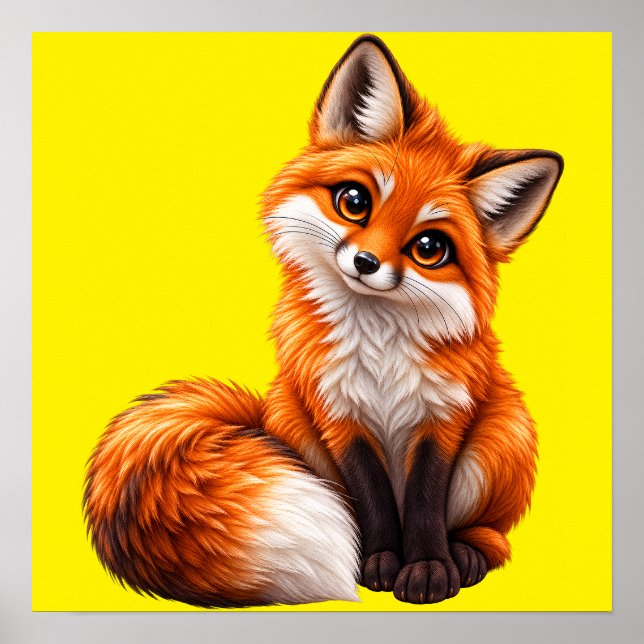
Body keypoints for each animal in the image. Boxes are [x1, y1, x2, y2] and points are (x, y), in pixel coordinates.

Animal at [83, 34, 563, 608]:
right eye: (354, 201)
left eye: (429, 248)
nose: (366, 263)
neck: (378, 350)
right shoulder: (337, 413)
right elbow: (372, 500)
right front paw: (380, 564)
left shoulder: (443, 416)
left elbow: (425, 503)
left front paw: (427, 568)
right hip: (297, 428)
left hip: (502, 435)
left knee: (492, 536)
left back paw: (466, 552)